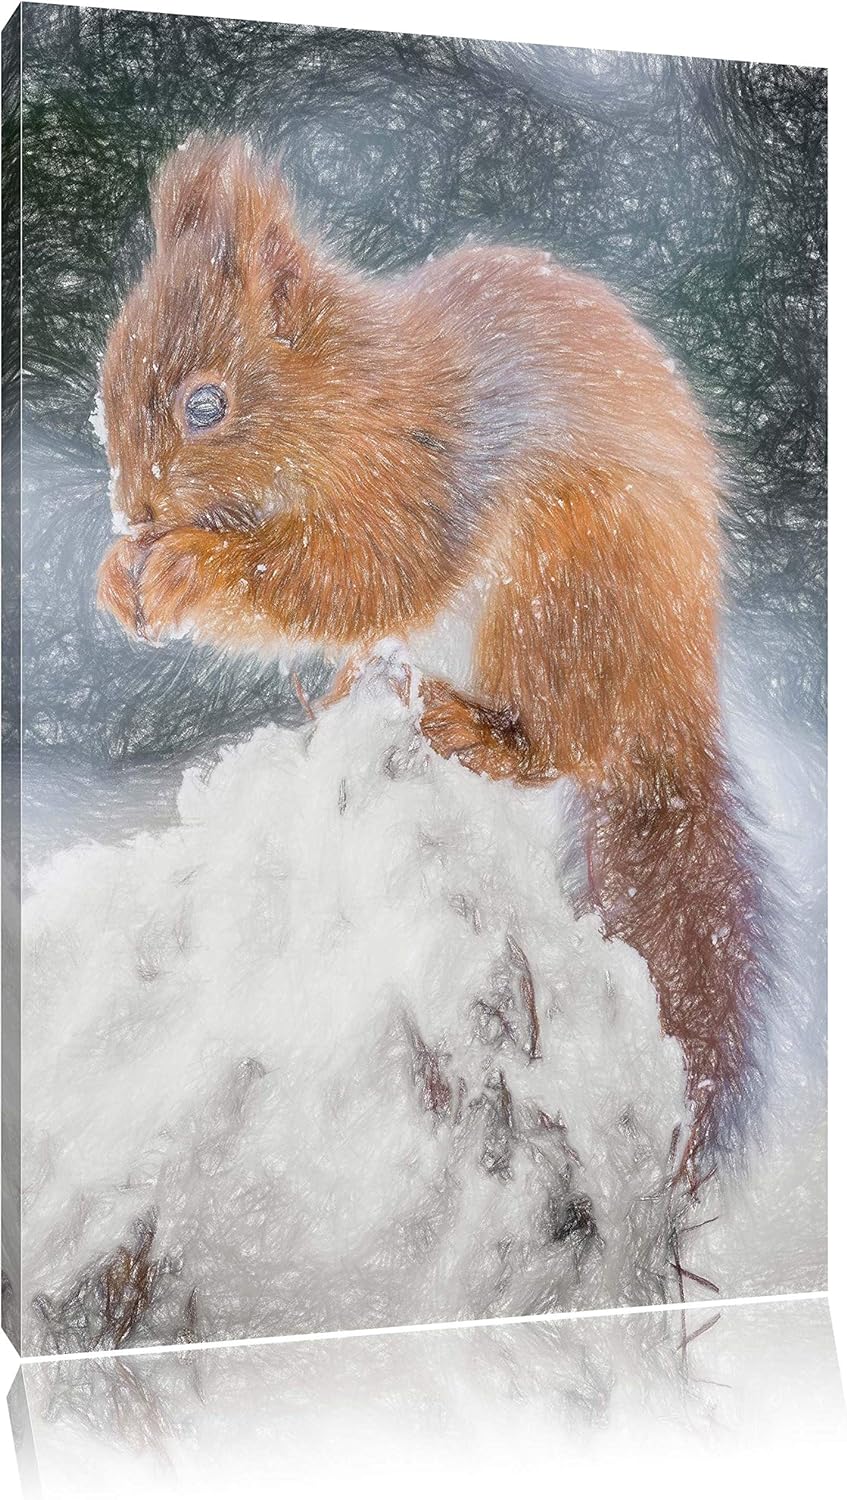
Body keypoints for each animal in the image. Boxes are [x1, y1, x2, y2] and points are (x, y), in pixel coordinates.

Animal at [97, 136, 765, 1170]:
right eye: (109, 374)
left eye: (205, 405)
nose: (132, 508)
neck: (349, 394)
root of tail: (673, 693)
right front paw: (116, 578)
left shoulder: (419, 479)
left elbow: (356, 576)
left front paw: (185, 569)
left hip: (565, 593)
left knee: (561, 748)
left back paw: (474, 732)